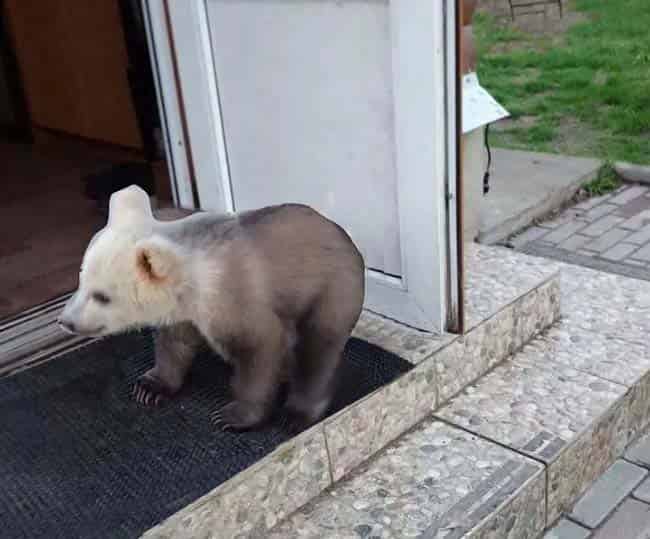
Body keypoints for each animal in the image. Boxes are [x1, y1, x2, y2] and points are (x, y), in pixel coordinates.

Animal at [58, 185, 365, 431]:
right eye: (81, 279)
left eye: (102, 296)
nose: (65, 321)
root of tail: (341, 233)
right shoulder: (182, 314)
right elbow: (174, 346)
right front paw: (149, 387)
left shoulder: (232, 296)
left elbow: (259, 348)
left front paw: (232, 415)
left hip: (330, 288)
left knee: (317, 347)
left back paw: (297, 412)